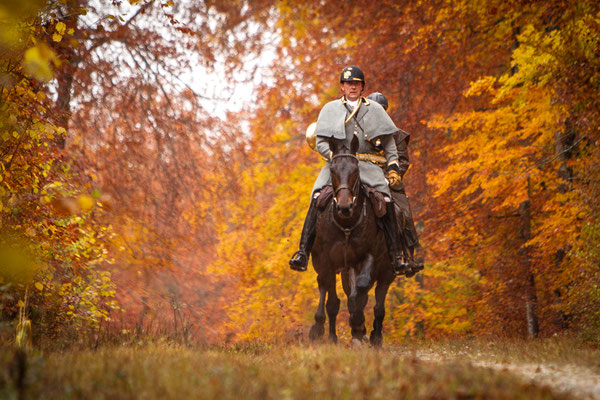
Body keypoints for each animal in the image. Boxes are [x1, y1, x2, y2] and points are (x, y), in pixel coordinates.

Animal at [310, 135, 398, 346]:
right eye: (332, 170)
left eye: (356, 169)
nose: (345, 206)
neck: (346, 224)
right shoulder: (326, 262)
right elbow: (332, 301)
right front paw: (324, 332)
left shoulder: (368, 258)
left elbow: (361, 290)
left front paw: (358, 324)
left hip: (381, 271)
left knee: (373, 301)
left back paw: (371, 335)